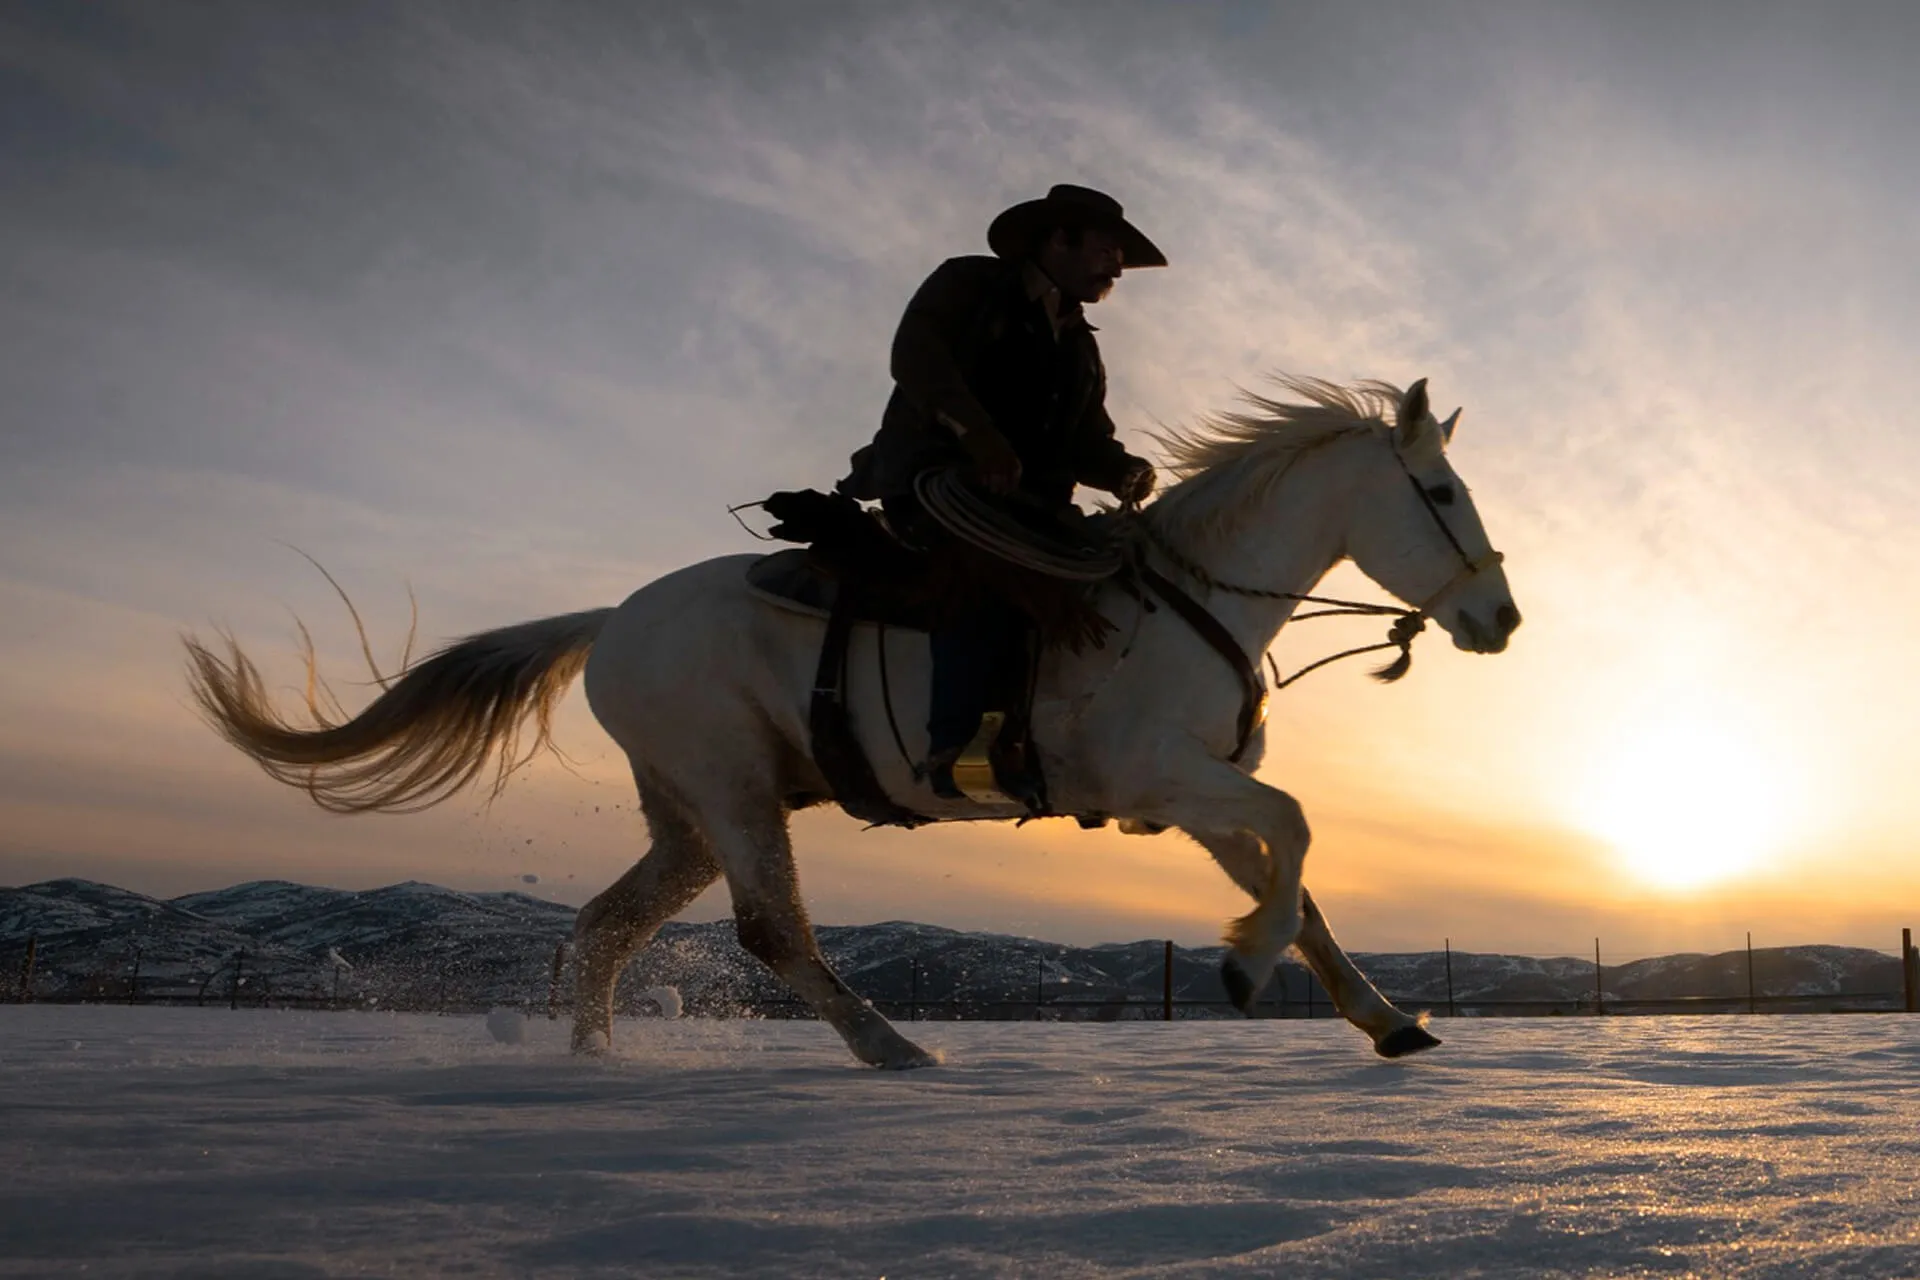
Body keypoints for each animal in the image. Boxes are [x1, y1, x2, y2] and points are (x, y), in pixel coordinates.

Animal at [185, 375, 1519, 1068]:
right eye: (1440, 491)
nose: (1499, 617)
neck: (1191, 598)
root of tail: (611, 617)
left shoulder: (1190, 795)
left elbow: (1302, 882)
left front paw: (1382, 1015)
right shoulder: (1163, 778)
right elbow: (1295, 836)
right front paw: (1244, 965)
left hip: (688, 813)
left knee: (611, 922)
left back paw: (598, 1057)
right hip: (730, 792)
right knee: (771, 932)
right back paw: (891, 1046)